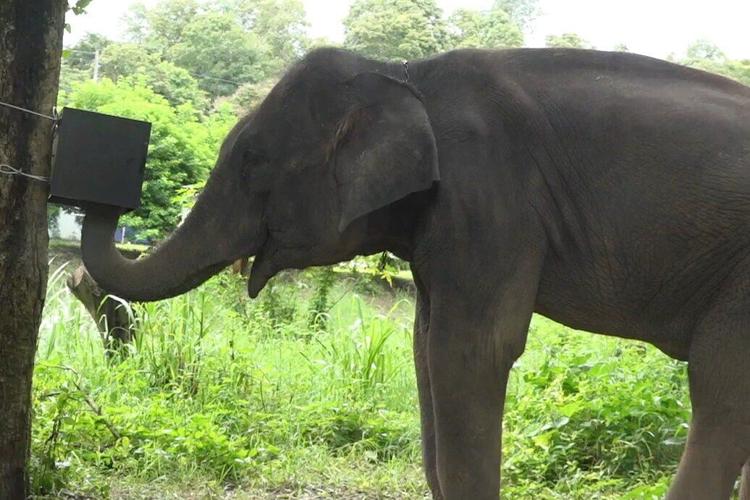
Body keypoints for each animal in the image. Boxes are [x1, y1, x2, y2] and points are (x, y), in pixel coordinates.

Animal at [80, 47, 750, 499]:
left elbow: (472, 350)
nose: (106, 191)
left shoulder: (488, 200)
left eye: (252, 161)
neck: (404, 73)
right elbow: (426, 346)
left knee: (721, 386)